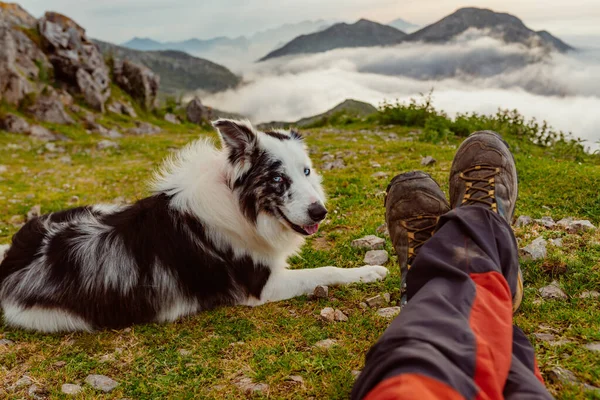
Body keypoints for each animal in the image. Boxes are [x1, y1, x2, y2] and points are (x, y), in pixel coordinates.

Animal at [0, 120, 390, 332]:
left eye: (307, 171)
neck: (237, 204)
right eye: (278, 179)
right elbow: (326, 271)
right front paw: (367, 273)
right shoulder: (263, 287)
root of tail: (12, 259)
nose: (320, 212)